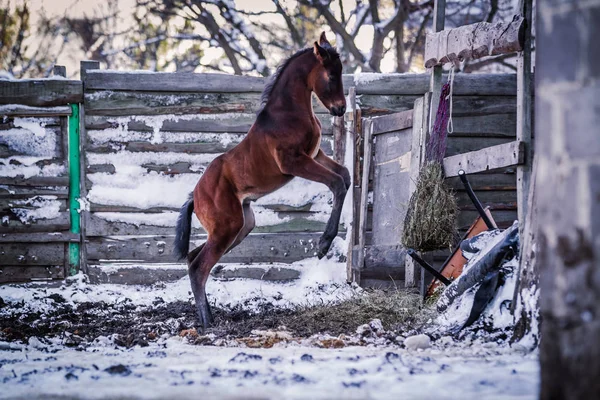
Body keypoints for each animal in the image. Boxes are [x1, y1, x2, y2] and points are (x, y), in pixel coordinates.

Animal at [173, 33, 350, 328]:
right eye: (332, 75)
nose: (341, 109)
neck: (288, 113)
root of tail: (194, 197)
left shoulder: (315, 155)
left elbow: (345, 176)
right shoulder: (293, 162)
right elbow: (336, 182)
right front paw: (323, 245)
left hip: (241, 227)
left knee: (191, 258)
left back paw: (207, 317)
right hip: (227, 229)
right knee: (199, 267)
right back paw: (208, 323)